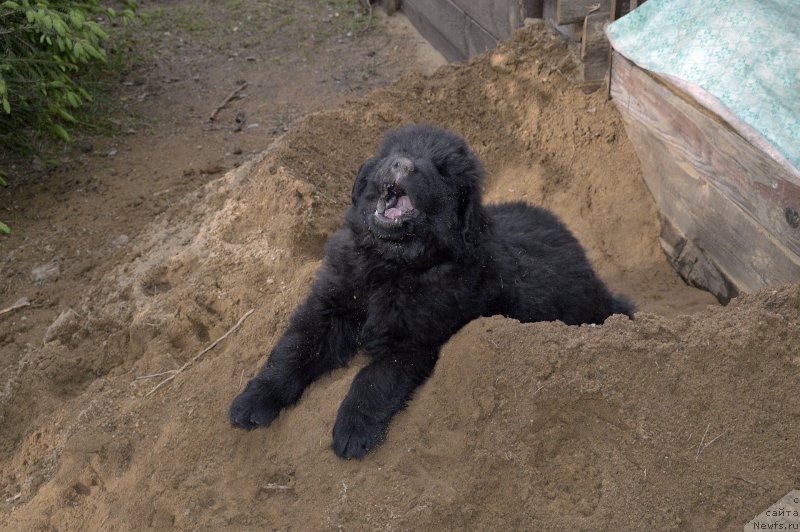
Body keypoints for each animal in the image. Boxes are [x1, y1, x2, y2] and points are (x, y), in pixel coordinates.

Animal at [228, 123, 636, 458]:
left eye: (442, 170)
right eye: (396, 151)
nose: (403, 165)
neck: (389, 267)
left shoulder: (416, 340)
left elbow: (374, 379)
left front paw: (353, 429)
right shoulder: (330, 305)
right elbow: (292, 349)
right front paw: (254, 399)